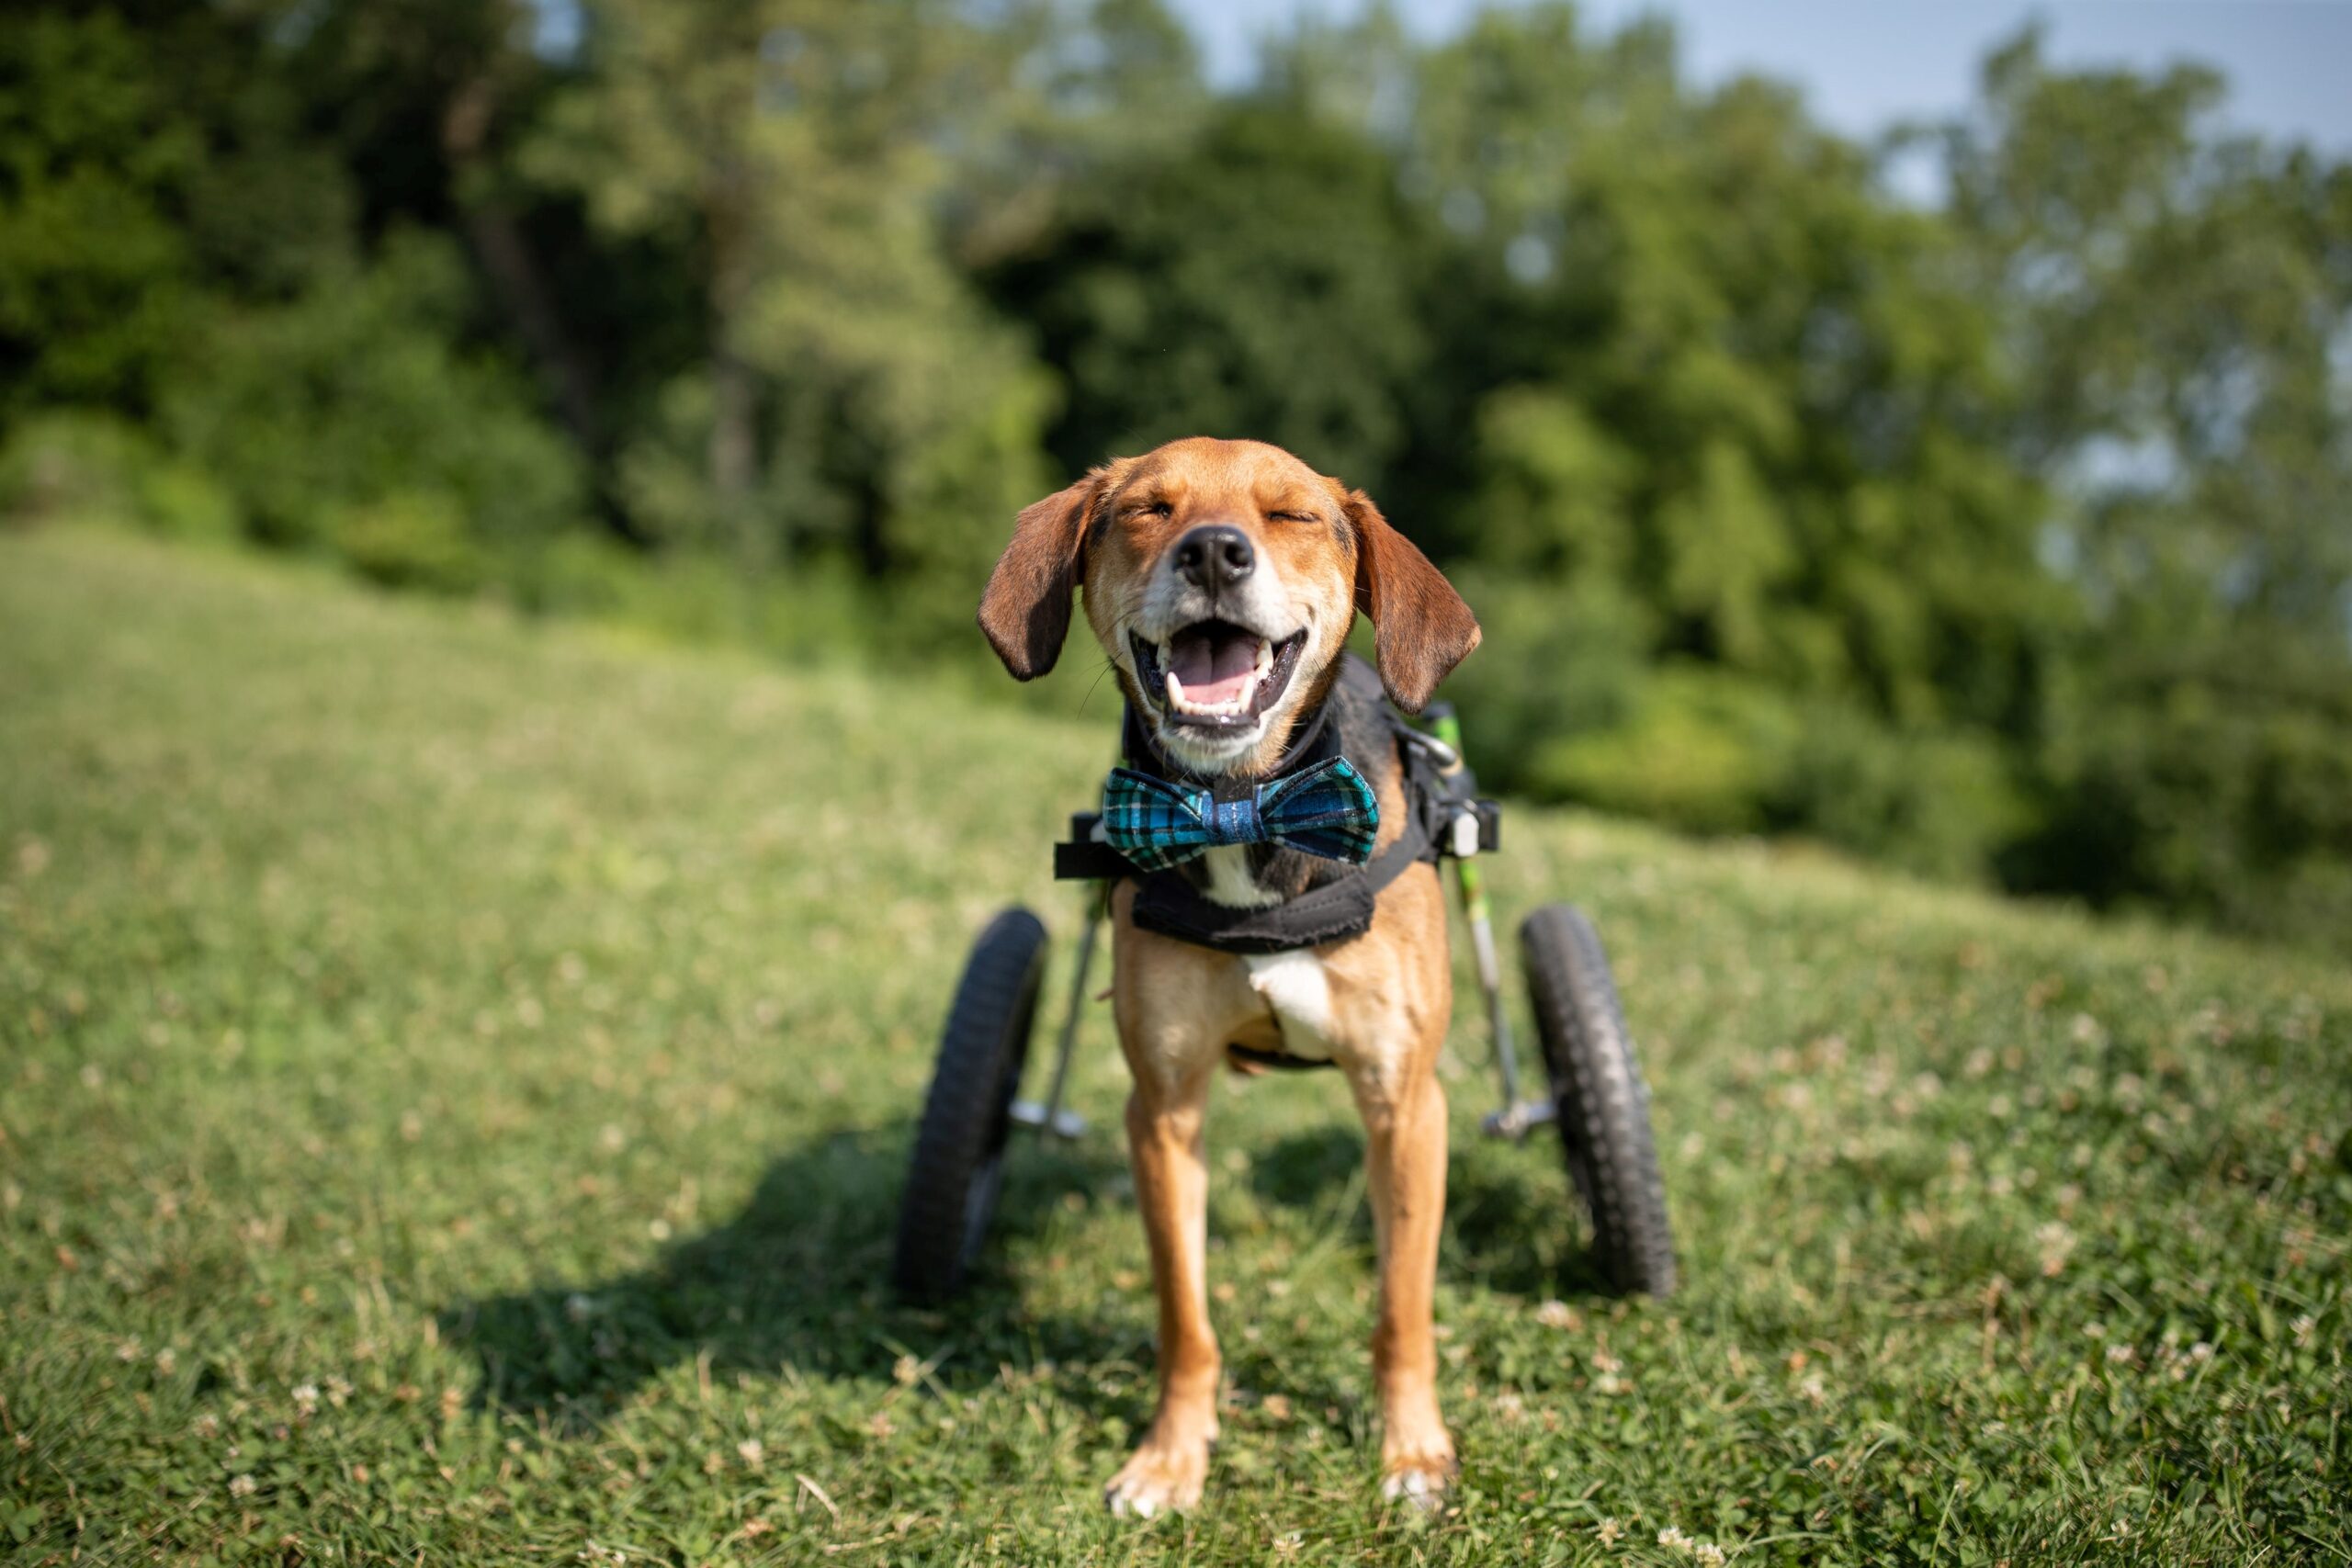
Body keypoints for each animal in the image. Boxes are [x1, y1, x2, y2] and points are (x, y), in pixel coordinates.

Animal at [973, 434, 1467, 1514]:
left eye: (1292, 516)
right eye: (1147, 510)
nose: (1211, 552)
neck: (1241, 803)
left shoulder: (1405, 1103)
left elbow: (1403, 1308)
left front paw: (1412, 1449)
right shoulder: (1161, 1108)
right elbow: (1185, 1317)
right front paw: (1170, 1457)